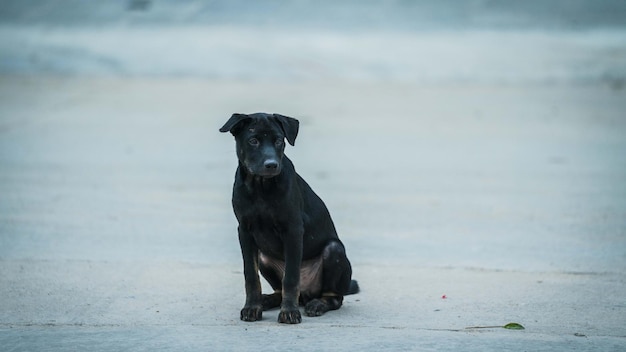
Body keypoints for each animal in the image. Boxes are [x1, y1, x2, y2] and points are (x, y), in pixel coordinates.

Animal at [219, 113, 356, 324]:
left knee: (334, 297)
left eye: (278, 141)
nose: (271, 165)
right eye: (253, 141)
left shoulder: (292, 230)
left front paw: (289, 312)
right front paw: (252, 308)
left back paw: (317, 304)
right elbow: (251, 276)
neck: (261, 187)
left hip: (334, 251)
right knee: (279, 290)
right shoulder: (244, 230)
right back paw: (266, 300)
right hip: (263, 256)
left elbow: (291, 277)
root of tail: (306, 295)